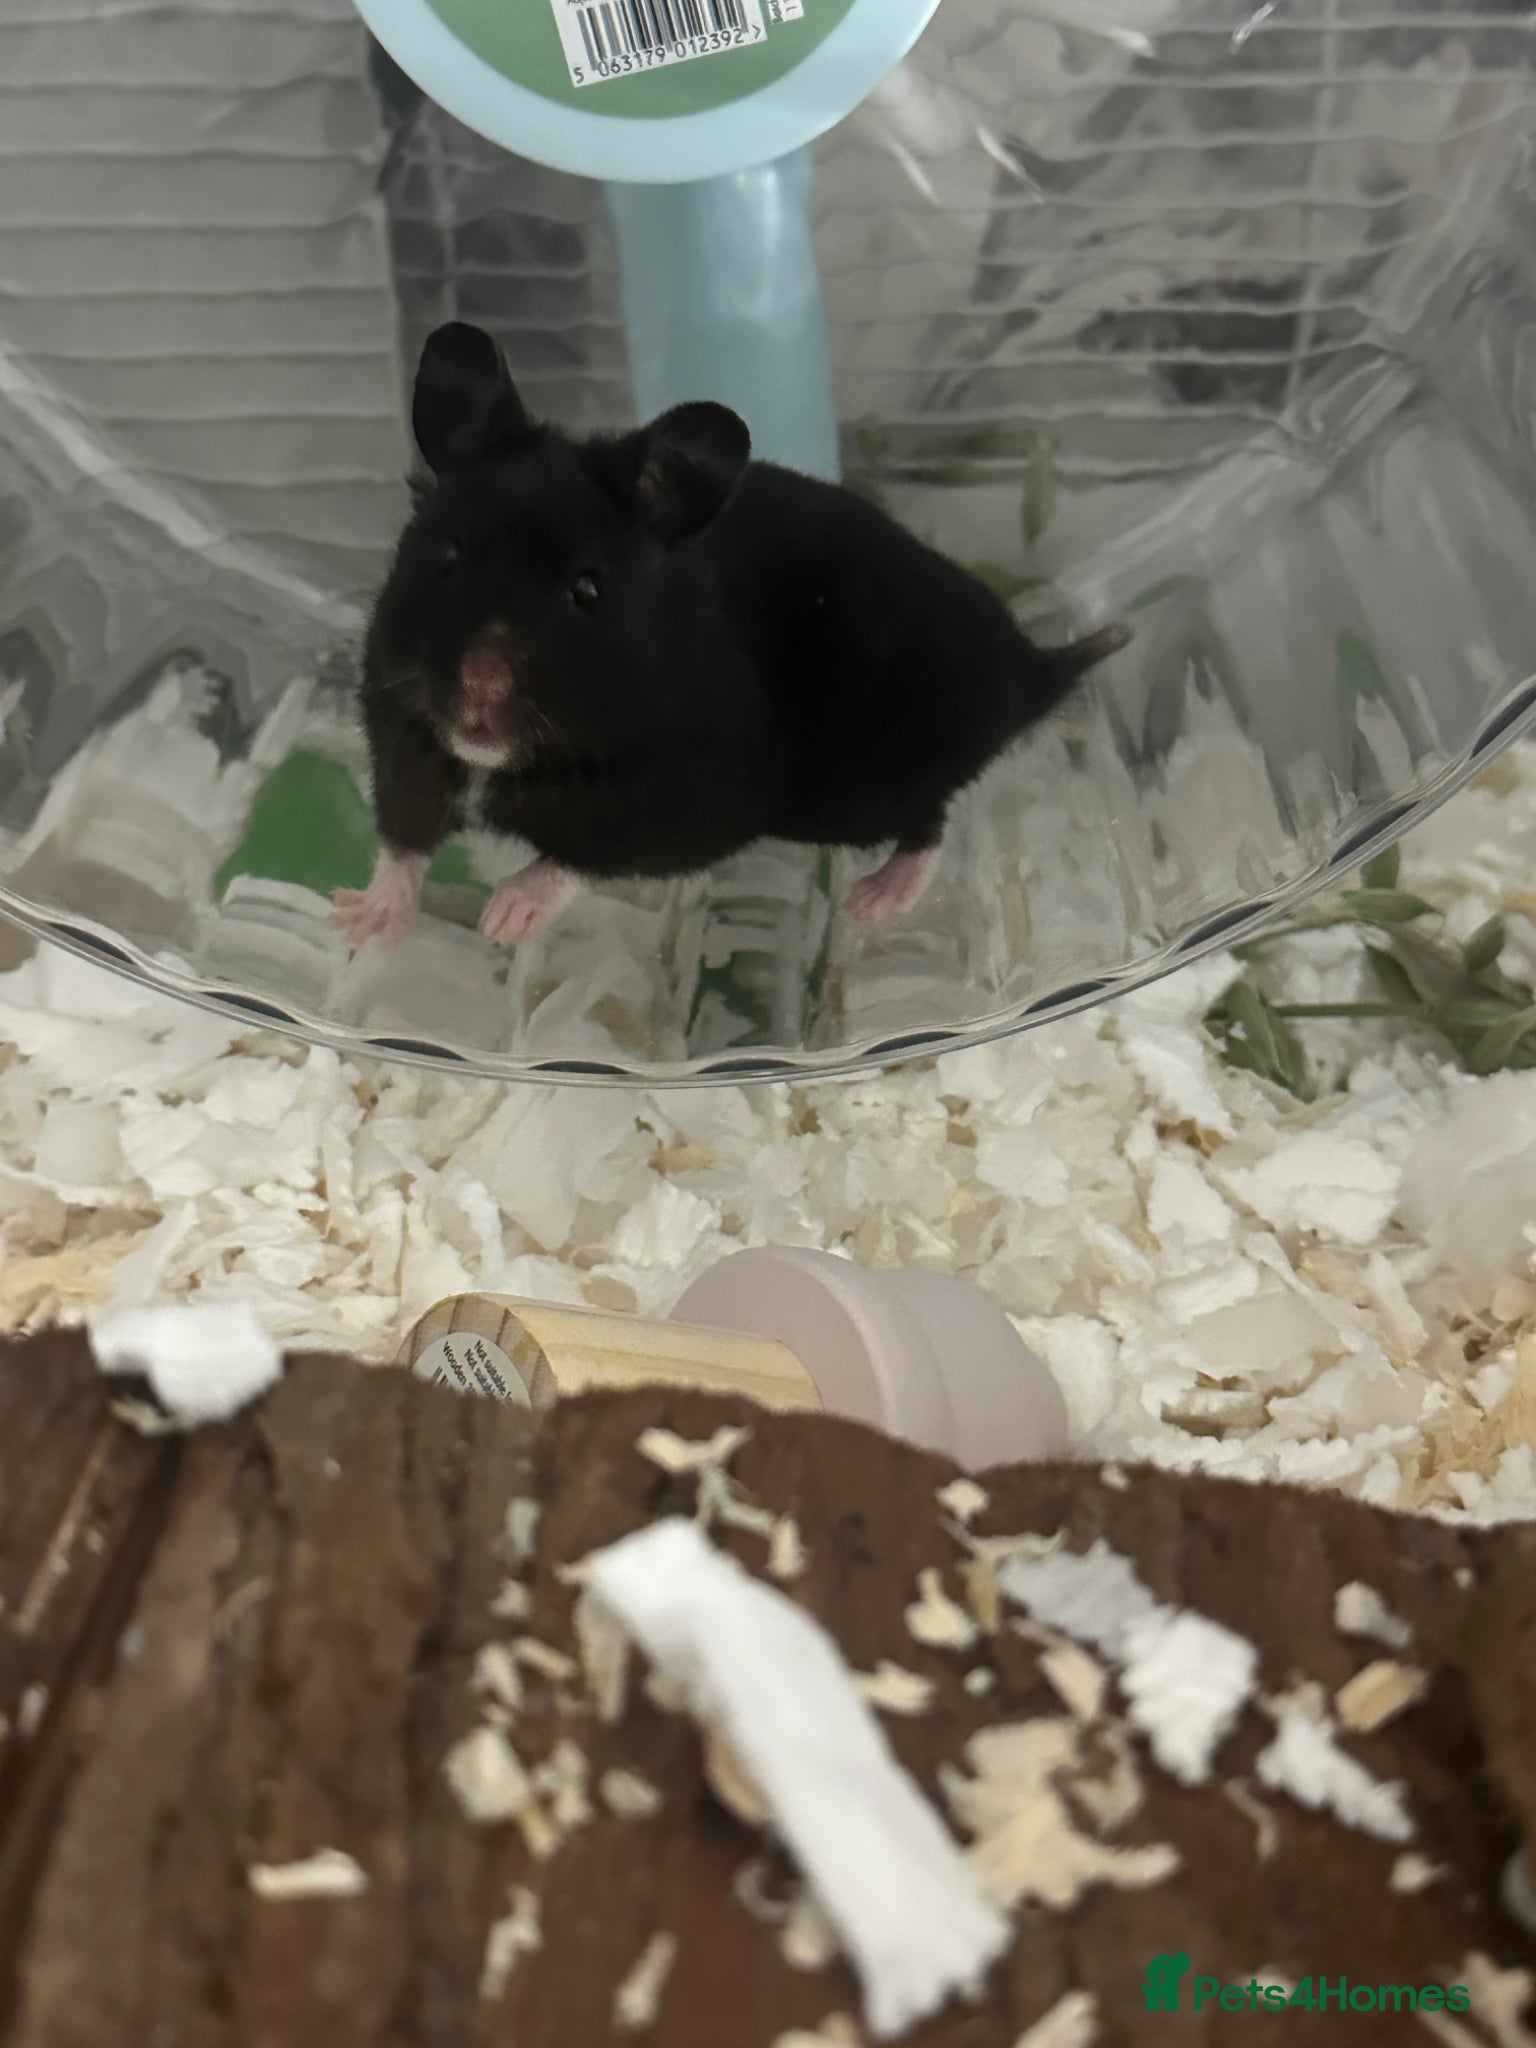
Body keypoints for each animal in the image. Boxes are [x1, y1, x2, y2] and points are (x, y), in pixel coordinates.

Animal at [331, 322, 1128, 952]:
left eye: (588, 591)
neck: (506, 761)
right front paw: (358, 921)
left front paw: (503, 920)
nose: (482, 681)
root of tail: (1033, 666)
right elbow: (403, 842)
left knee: (929, 826)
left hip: (872, 784)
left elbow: (576, 858)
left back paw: (872, 903)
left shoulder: (681, 800)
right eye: (447, 556)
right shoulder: (402, 739)